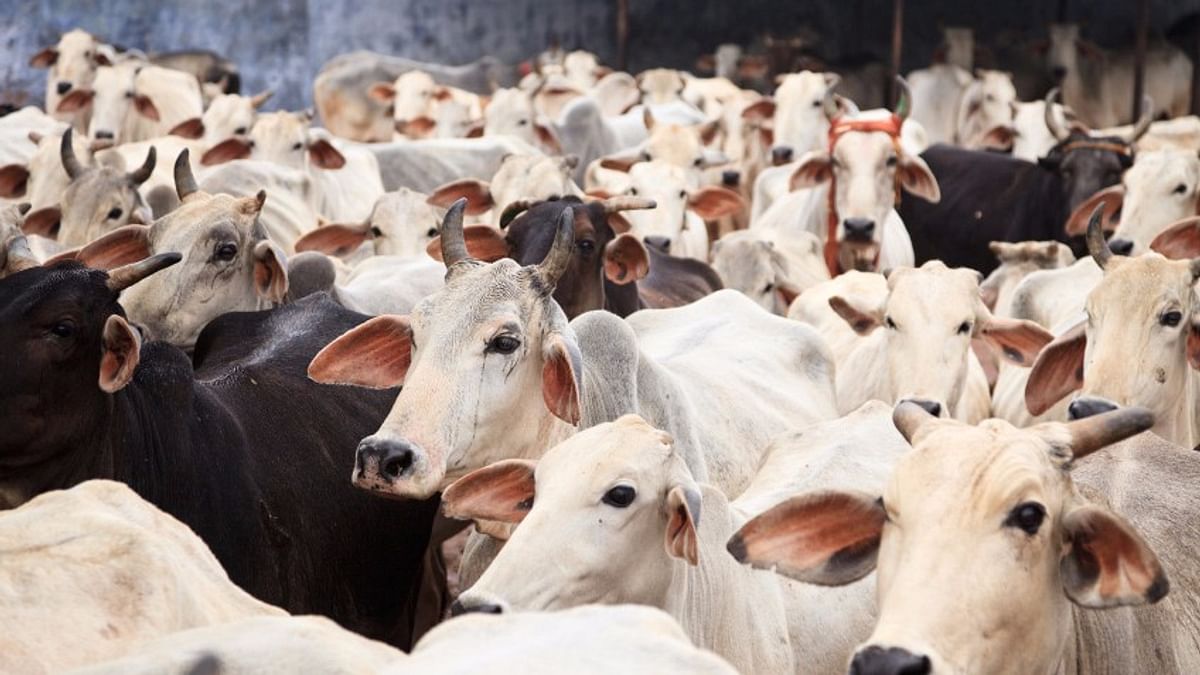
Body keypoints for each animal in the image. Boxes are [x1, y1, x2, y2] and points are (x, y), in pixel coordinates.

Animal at [1048, 22, 1193, 127]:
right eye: (1051, 42)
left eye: (1075, 43)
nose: (1059, 70)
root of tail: (1183, 56)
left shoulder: (1106, 122)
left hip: (1181, 105)